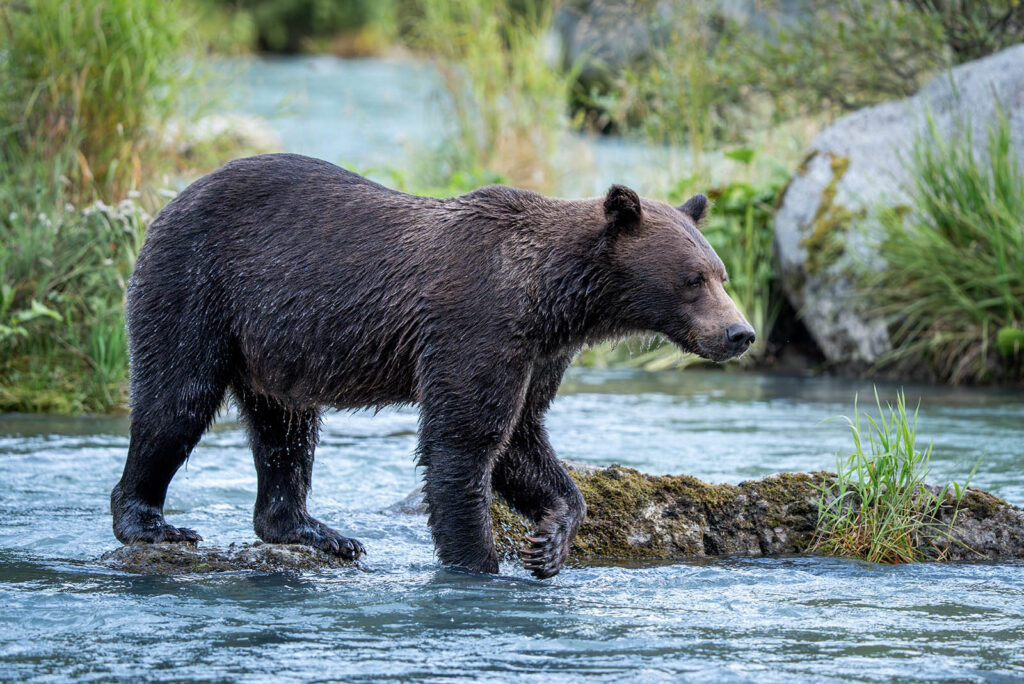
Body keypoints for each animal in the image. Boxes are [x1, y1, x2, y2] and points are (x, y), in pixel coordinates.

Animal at [112, 154, 757, 577]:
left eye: (721, 273)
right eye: (694, 279)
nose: (740, 333)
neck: (553, 298)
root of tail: (168, 202)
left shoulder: (539, 351)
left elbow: (522, 438)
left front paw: (550, 538)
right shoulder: (477, 323)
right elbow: (464, 443)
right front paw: (478, 560)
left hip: (271, 344)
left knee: (286, 429)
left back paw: (318, 533)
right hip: (197, 287)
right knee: (176, 400)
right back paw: (152, 522)